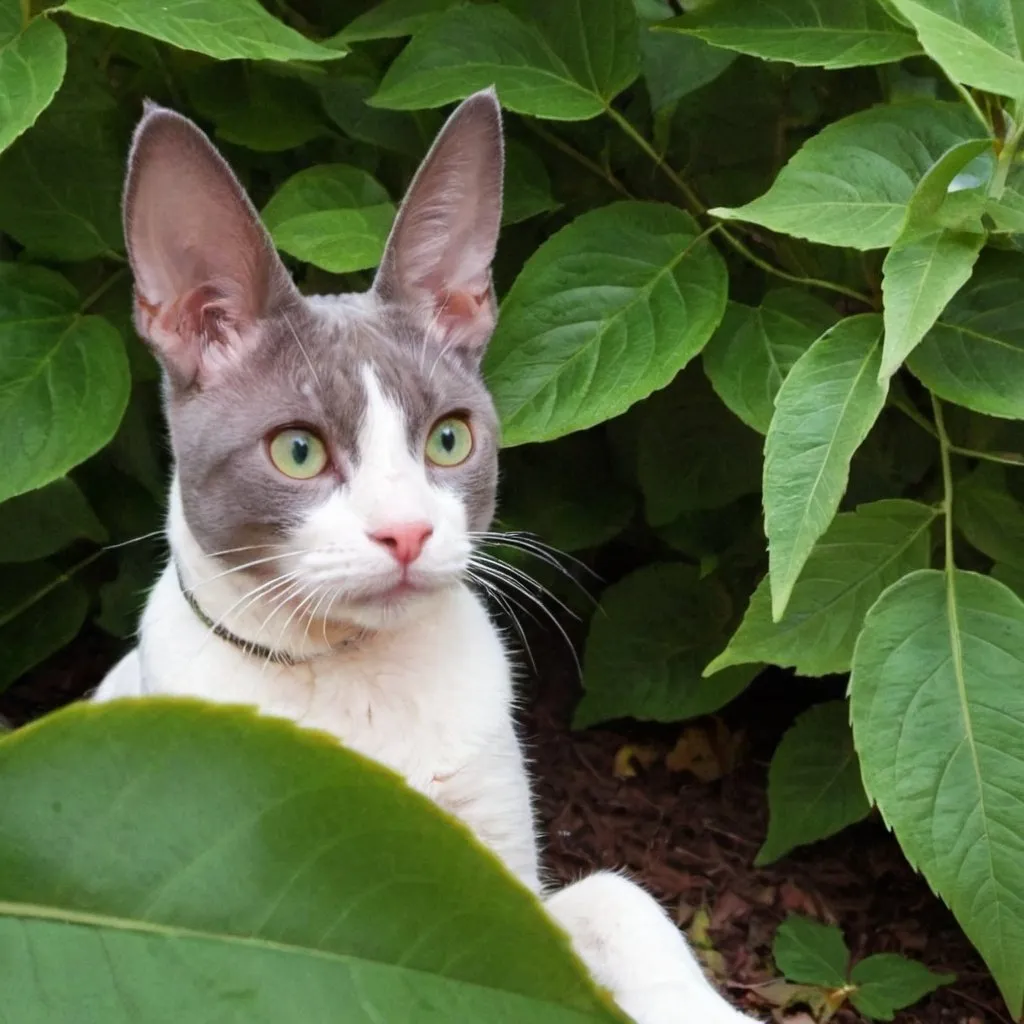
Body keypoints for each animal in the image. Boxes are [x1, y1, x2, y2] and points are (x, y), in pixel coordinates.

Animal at [92, 90, 757, 1024]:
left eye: (449, 438)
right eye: (298, 451)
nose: (406, 531)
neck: (354, 673)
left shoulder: (501, 898)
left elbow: (615, 894)